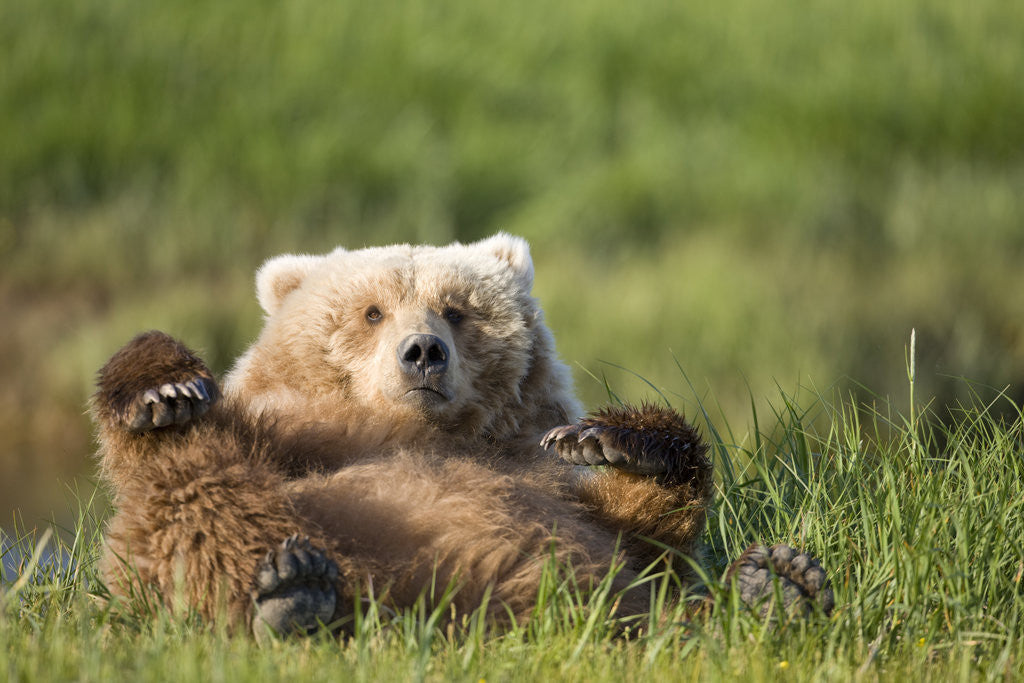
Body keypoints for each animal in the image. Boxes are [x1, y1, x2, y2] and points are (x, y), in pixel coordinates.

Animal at [91, 233, 833, 637]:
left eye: (456, 308)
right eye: (371, 311)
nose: (423, 351)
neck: (412, 433)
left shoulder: (536, 470)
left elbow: (647, 531)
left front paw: (609, 438)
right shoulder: (292, 437)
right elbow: (162, 503)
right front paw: (164, 389)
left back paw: (778, 586)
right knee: (202, 497)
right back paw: (296, 592)